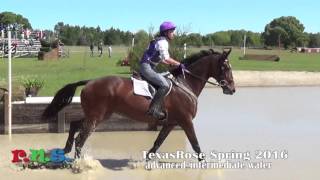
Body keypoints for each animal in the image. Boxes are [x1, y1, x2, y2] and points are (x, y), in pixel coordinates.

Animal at [42, 48, 235, 160]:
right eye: (226, 67)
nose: (232, 89)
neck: (186, 83)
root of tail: (90, 82)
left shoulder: (171, 122)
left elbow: (157, 143)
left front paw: (147, 160)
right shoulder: (186, 121)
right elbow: (195, 145)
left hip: (97, 115)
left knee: (75, 125)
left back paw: (66, 150)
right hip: (97, 116)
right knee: (81, 138)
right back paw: (79, 163)